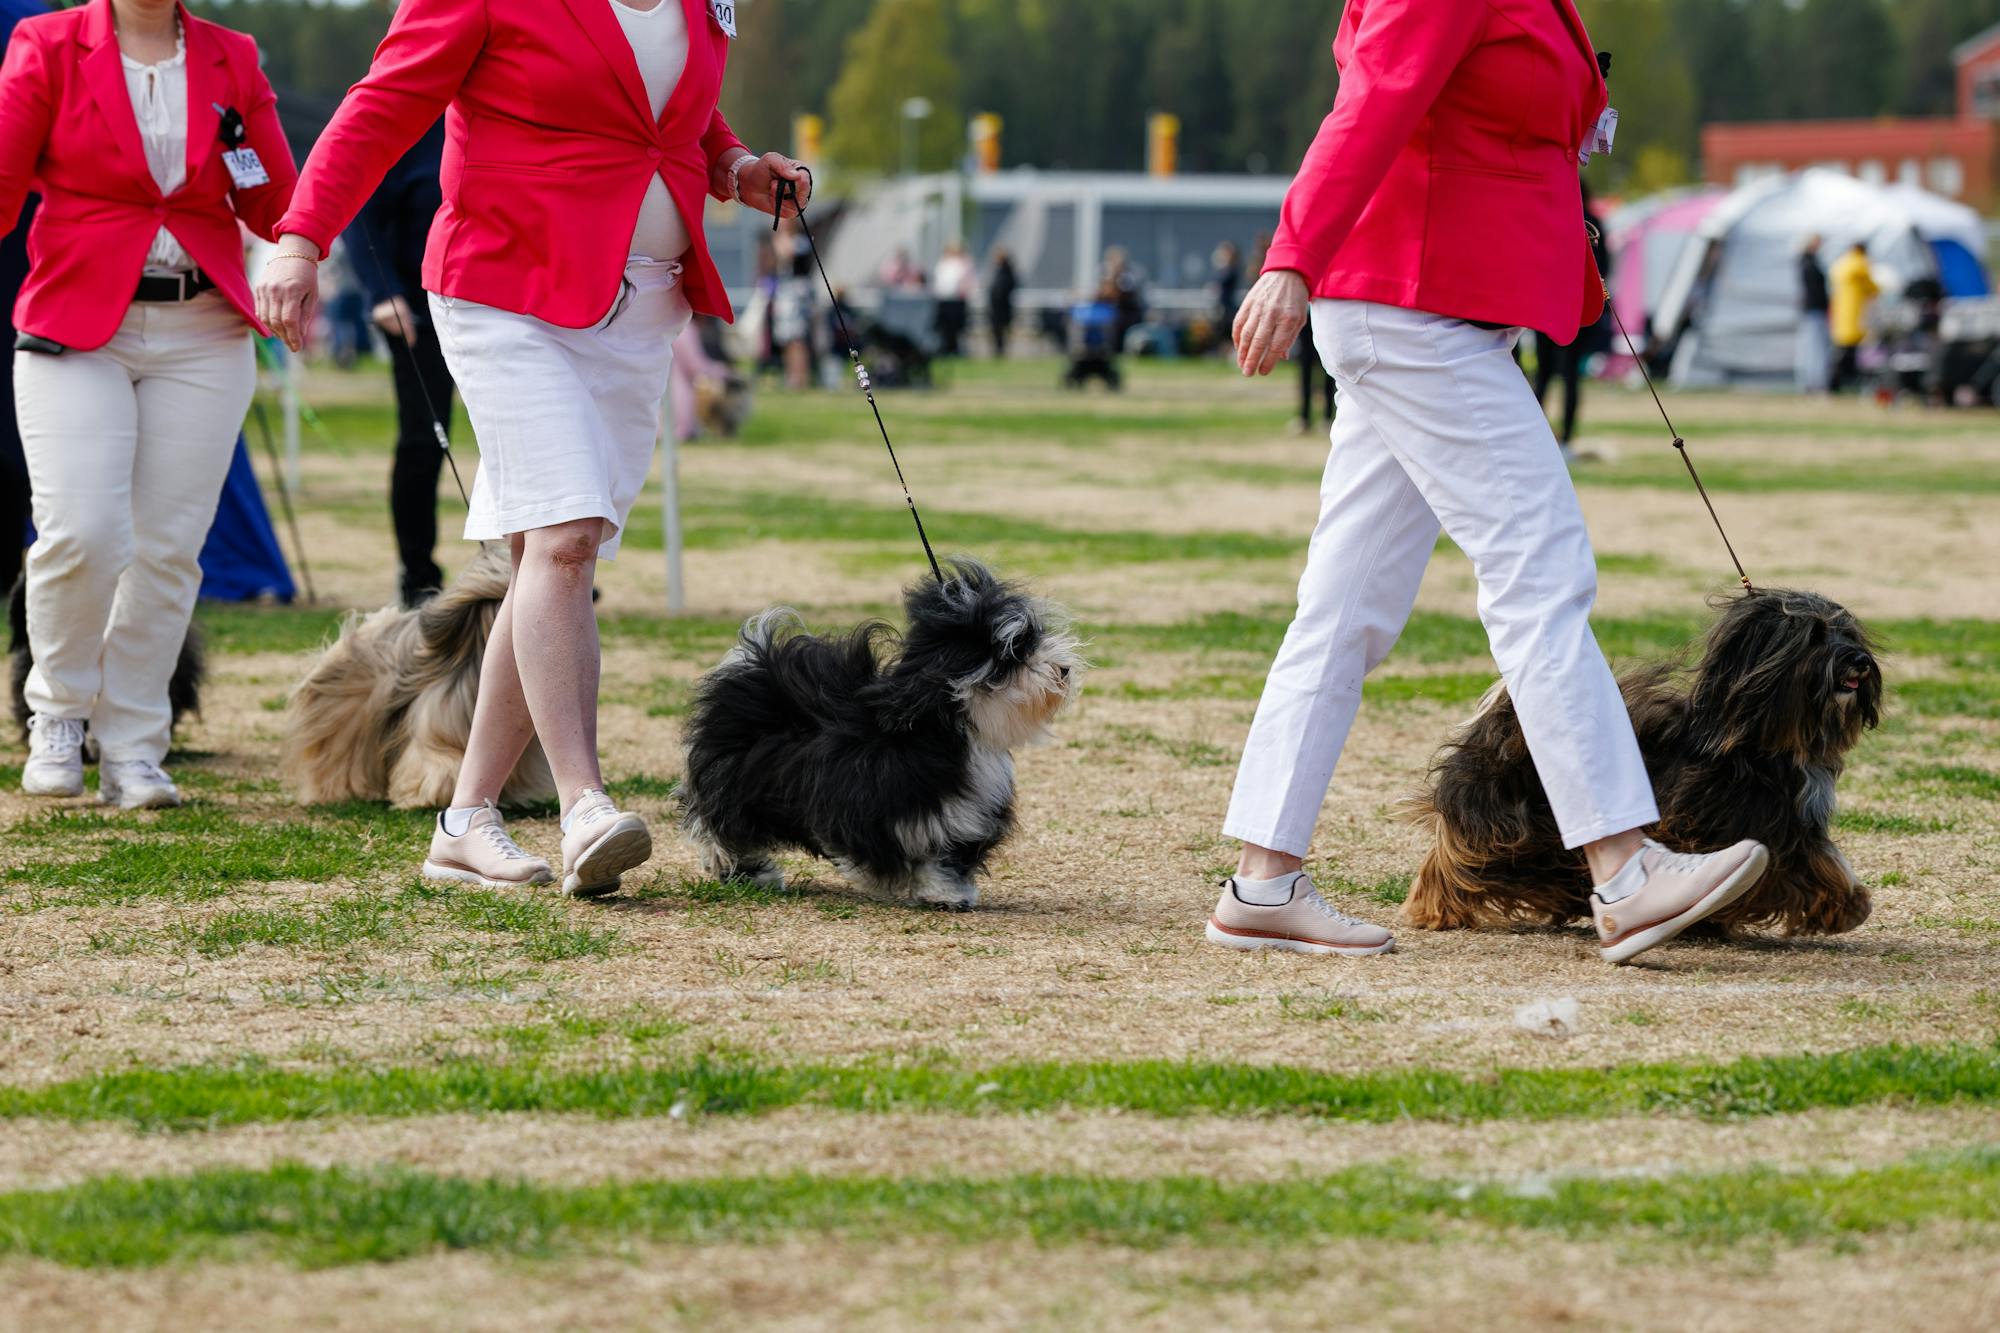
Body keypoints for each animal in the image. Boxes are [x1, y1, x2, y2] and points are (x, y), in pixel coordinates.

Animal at [679, 560, 1083, 908]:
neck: (944, 728)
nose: (1063, 669)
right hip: (735, 784)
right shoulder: (859, 795)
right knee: (717, 827)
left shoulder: (964, 815)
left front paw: (947, 893)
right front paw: (877, 876)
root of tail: (753, 670)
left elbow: (947, 857)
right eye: (1014, 651)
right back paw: (746, 871)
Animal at [1403, 588, 1881, 937]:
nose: (1859, 661)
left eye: (1849, 634)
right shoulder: (1715, 822)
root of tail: (1500, 715)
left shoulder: (1788, 824)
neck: (1761, 743)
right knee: (1456, 856)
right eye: (1813, 636)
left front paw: (1847, 906)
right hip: (1502, 819)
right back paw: (1433, 909)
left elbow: (1818, 862)